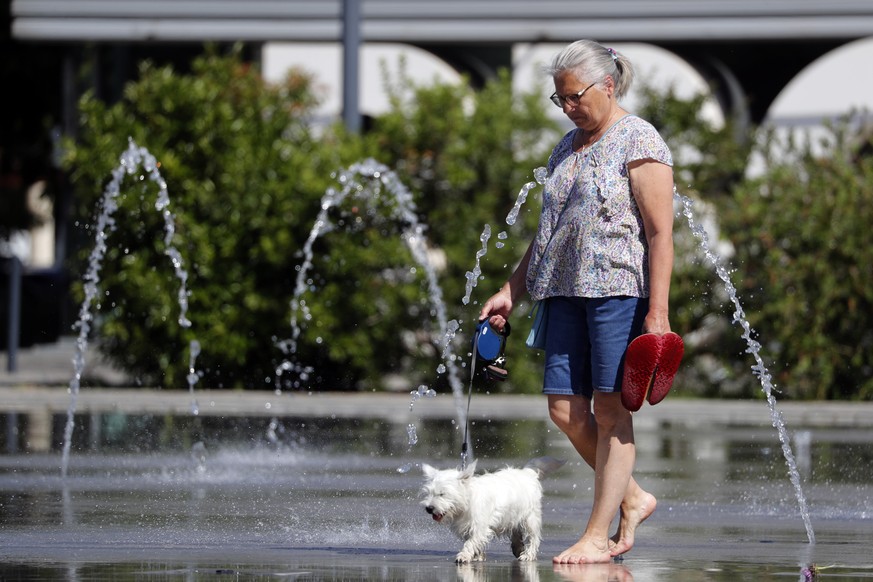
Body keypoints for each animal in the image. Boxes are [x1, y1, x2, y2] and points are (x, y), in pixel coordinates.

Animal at [418, 458, 564, 564]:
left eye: (442, 494)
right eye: (429, 493)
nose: (429, 508)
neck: (466, 502)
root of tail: (527, 473)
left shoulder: (479, 526)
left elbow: (471, 542)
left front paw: (464, 556)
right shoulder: (468, 526)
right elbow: (474, 541)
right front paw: (478, 556)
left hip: (530, 517)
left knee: (533, 537)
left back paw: (528, 554)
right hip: (513, 516)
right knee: (516, 532)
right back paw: (518, 548)